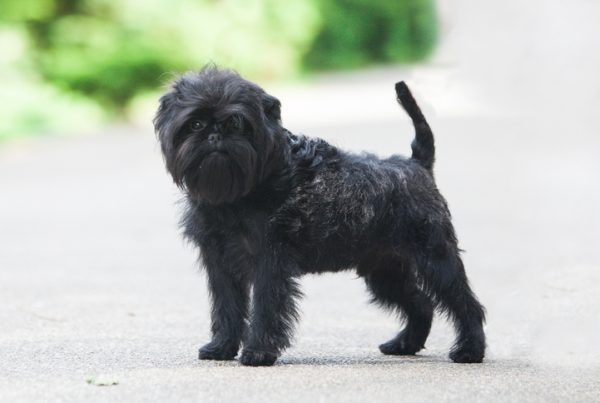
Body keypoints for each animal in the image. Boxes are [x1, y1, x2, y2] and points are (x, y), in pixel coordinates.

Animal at [154, 66, 486, 366]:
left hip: (435, 258)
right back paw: (404, 344)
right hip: (385, 270)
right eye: (195, 124)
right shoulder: (221, 264)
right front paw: (221, 347)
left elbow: (265, 306)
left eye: (236, 122)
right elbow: (227, 308)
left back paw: (470, 351)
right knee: (422, 304)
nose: (214, 135)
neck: (238, 192)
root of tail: (417, 164)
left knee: (464, 303)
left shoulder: (269, 261)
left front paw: (258, 352)